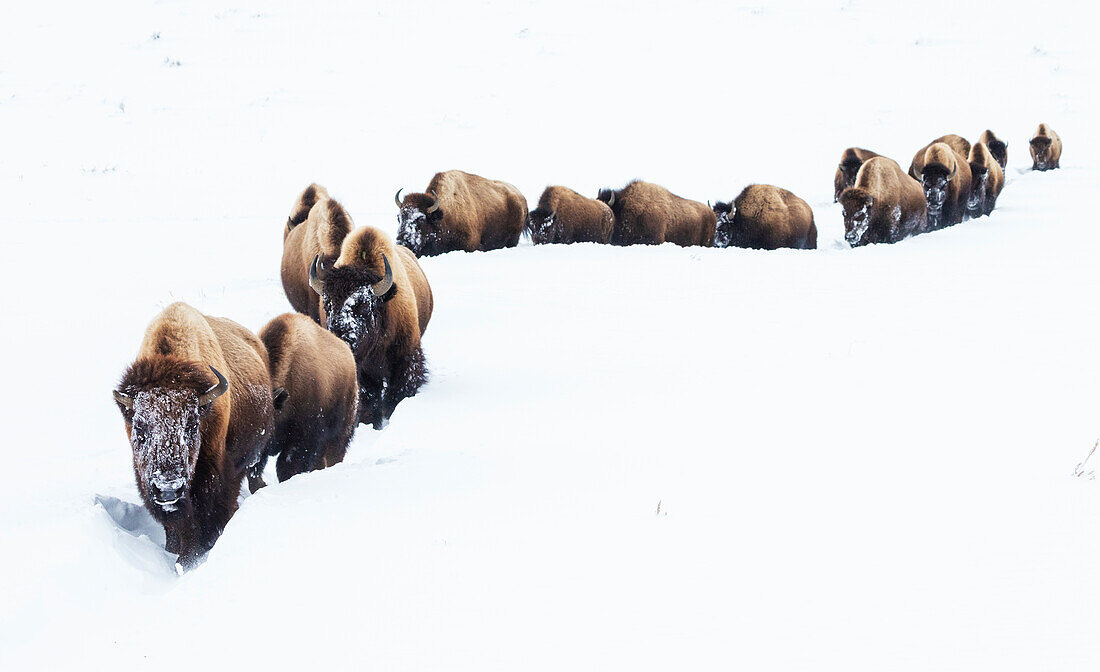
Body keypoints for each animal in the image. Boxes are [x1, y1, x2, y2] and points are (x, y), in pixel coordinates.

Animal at [112, 301, 275, 563]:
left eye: (191, 425)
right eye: (139, 427)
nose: (168, 488)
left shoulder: (212, 474)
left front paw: (191, 557)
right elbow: (178, 524)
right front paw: (175, 553)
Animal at [310, 221, 433, 431]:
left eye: (364, 306)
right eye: (327, 306)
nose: (342, 338)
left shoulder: (405, 359)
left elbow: (397, 392)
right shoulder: (363, 372)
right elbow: (369, 397)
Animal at [396, 170, 528, 257]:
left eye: (421, 218)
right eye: (399, 218)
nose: (402, 242)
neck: (443, 217)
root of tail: (521, 197)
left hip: (513, 238)